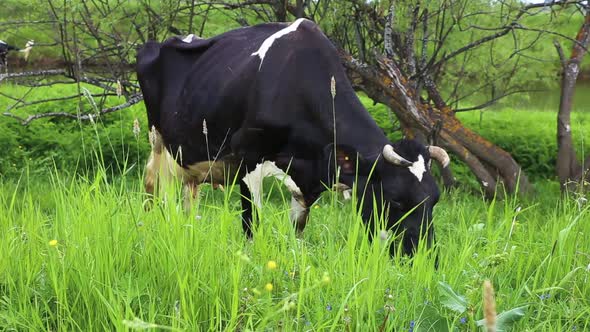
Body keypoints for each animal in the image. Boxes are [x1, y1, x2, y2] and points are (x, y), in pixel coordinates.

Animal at [138, 18, 454, 256]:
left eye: (435, 200)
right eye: (396, 201)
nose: (425, 259)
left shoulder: (306, 181)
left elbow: (297, 232)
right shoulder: (248, 158)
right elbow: (252, 224)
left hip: (190, 162)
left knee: (189, 198)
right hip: (159, 144)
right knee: (154, 188)